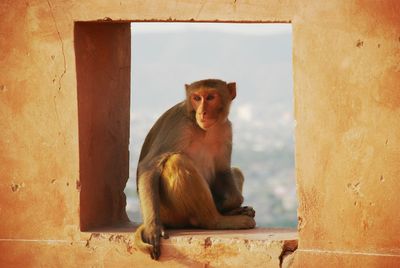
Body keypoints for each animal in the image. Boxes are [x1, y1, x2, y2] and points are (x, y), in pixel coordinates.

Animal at [133, 78, 255, 258]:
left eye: (210, 97)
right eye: (197, 98)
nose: (202, 112)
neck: (204, 129)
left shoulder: (226, 129)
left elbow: (223, 170)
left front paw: (231, 205)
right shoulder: (179, 125)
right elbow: (149, 166)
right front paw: (152, 228)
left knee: (235, 171)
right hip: (170, 212)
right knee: (177, 161)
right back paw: (217, 221)